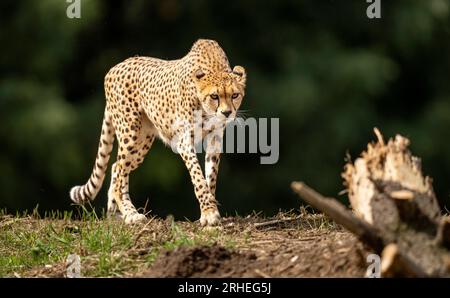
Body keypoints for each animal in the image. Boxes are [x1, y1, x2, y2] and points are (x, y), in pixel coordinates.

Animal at [70, 39, 246, 226]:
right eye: (214, 96)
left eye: (235, 95)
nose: (227, 113)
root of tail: (115, 67)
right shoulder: (185, 142)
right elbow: (198, 178)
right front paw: (209, 212)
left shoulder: (214, 139)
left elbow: (210, 178)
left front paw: (209, 211)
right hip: (130, 133)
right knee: (119, 172)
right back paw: (131, 214)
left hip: (142, 142)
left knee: (117, 168)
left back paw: (115, 214)